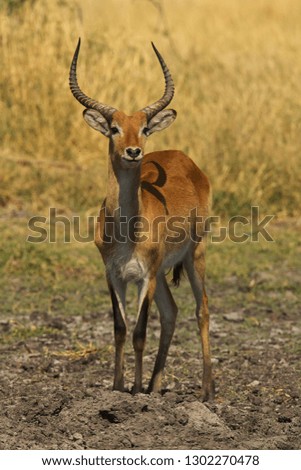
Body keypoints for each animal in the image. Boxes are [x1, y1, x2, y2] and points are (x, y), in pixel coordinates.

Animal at [68, 38, 213, 402]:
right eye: (114, 128)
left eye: (145, 127)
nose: (133, 152)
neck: (126, 231)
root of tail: (185, 158)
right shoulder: (115, 275)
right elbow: (120, 329)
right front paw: (120, 387)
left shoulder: (144, 277)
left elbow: (139, 332)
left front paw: (133, 391)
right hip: (163, 272)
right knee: (172, 312)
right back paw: (154, 386)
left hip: (195, 254)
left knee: (201, 308)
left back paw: (207, 391)